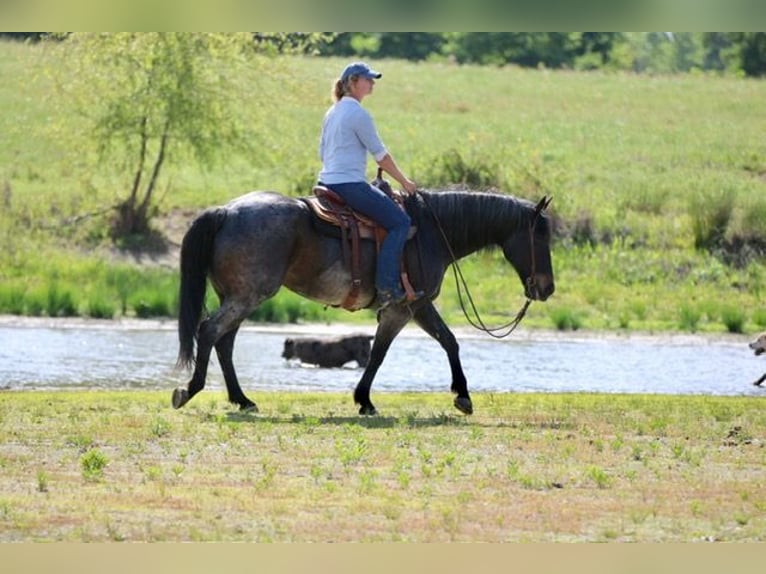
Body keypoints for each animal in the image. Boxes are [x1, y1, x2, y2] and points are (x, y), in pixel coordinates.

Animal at [173, 188, 555, 416]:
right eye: (540, 237)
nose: (547, 288)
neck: (430, 233)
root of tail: (225, 211)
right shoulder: (404, 308)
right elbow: (383, 353)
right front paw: (366, 400)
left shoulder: (414, 307)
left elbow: (446, 342)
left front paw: (461, 395)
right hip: (247, 295)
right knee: (209, 331)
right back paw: (190, 390)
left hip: (237, 295)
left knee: (224, 342)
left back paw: (242, 399)